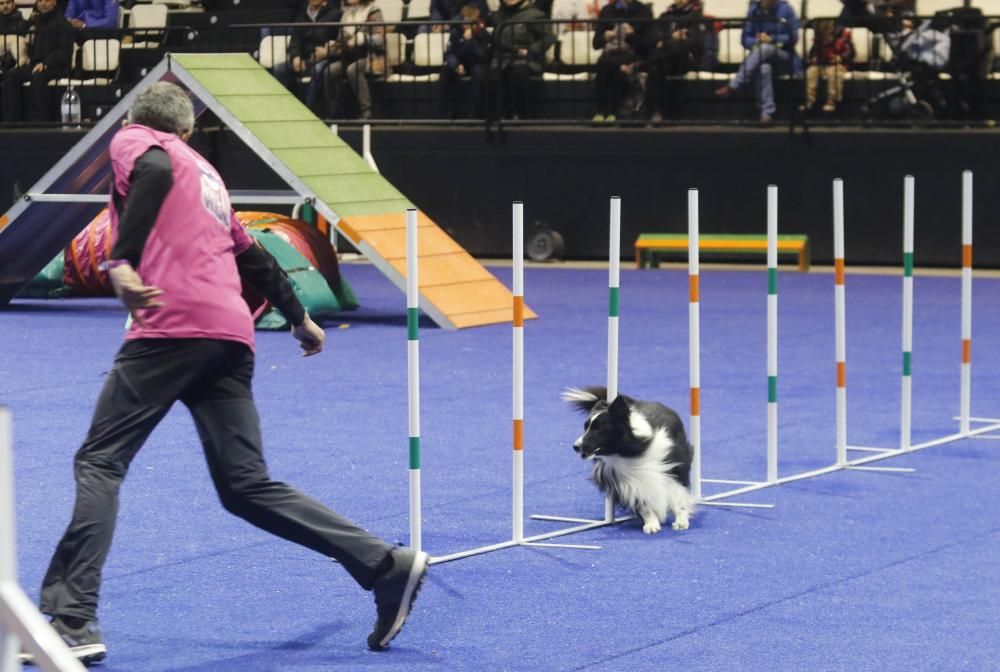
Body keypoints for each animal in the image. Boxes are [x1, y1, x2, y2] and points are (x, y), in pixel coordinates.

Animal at [564, 386, 696, 532]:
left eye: (599, 429)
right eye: (585, 427)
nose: (575, 446)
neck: (629, 452)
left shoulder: (674, 468)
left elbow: (678, 498)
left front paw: (681, 522)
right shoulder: (628, 480)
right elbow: (643, 503)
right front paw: (651, 524)